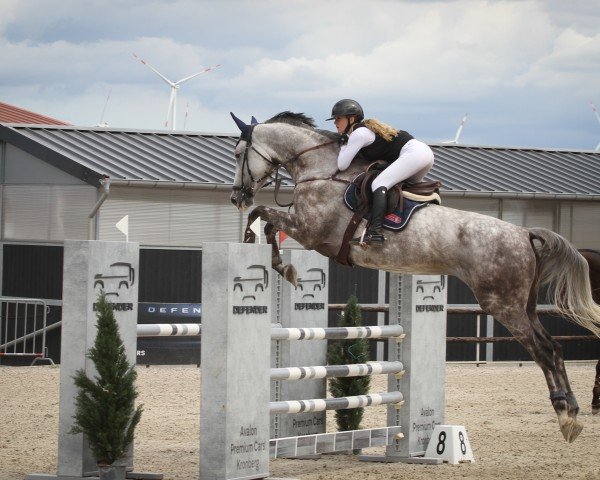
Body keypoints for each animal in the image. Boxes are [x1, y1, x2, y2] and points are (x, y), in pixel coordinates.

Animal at [229, 111, 600, 442]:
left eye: (238, 153)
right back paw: (573, 412)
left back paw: (565, 415)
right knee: (554, 347)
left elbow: (263, 216)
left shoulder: (310, 232)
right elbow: (265, 219)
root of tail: (524, 233)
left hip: (503, 305)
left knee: (544, 350)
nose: (236, 196)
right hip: (525, 305)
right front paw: (276, 261)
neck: (322, 171)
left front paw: (279, 264)